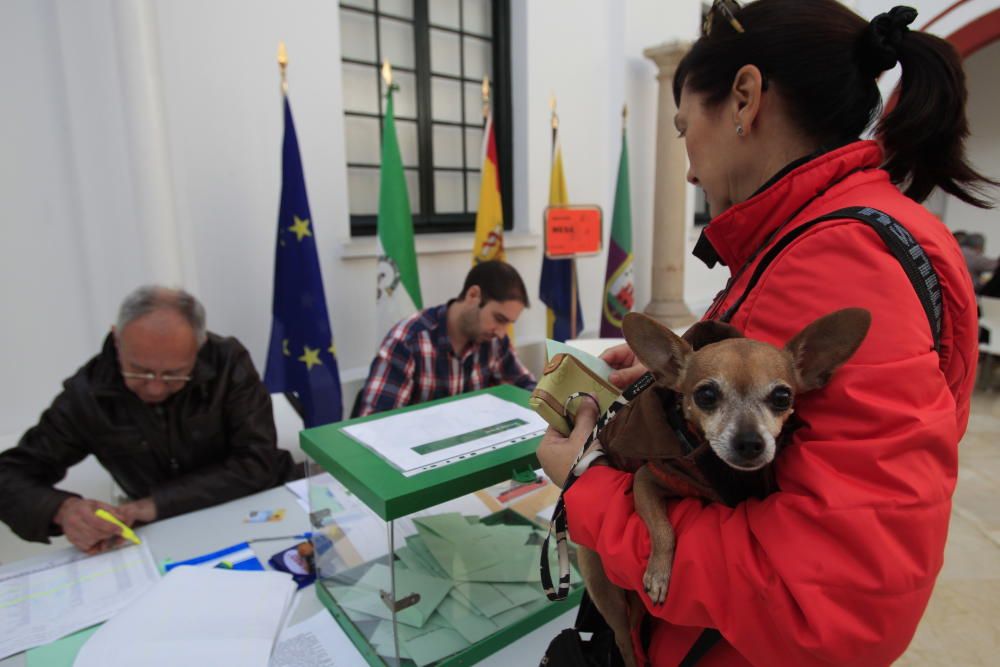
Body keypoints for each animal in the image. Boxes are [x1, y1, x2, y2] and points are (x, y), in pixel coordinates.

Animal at [576, 310, 872, 667]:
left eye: (782, 397)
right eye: (705, 395)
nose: (750, 442)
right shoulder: (646, 479)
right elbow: (663, 530)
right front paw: (659, 574)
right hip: (603, 587)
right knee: (622, 636)